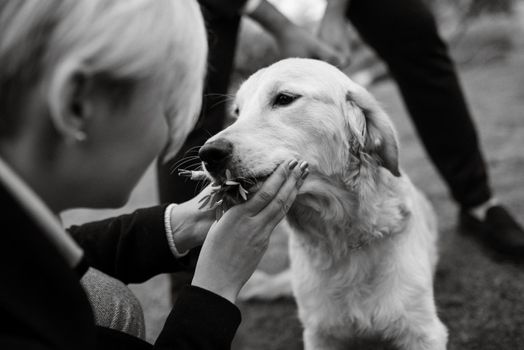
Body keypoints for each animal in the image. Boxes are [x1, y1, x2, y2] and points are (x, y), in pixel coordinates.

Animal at [199, 58, 448, 348]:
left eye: (284, 99)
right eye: (237, 112)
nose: (208, 154)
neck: (342, 242)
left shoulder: (423, 331)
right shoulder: (319, 333)